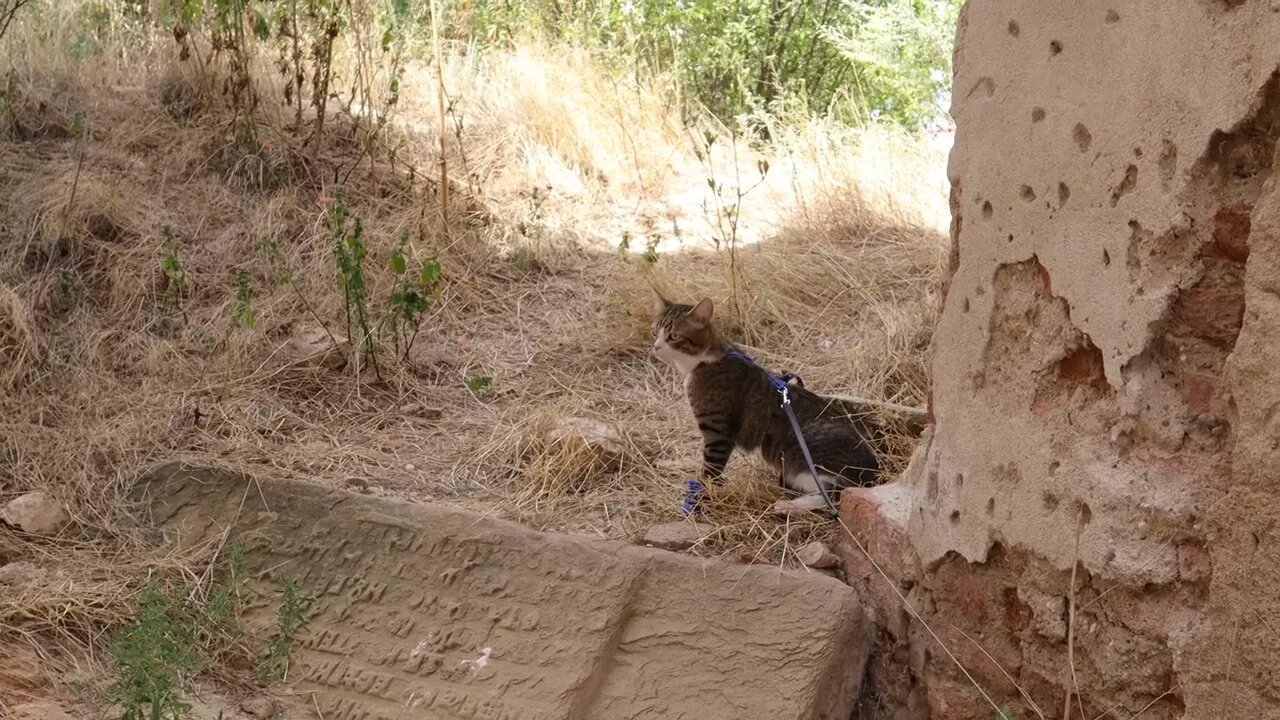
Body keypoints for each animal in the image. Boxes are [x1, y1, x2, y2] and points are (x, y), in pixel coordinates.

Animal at [650, 288, 880, 512]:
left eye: (673, 336)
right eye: (655, 332)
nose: (655, 347)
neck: (703, 361)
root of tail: (873, 469)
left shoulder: (718, 433)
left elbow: (709, 471)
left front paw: (698, 496)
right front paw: (674, 463)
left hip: (795, 454)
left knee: (833, 495)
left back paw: (786, 506)